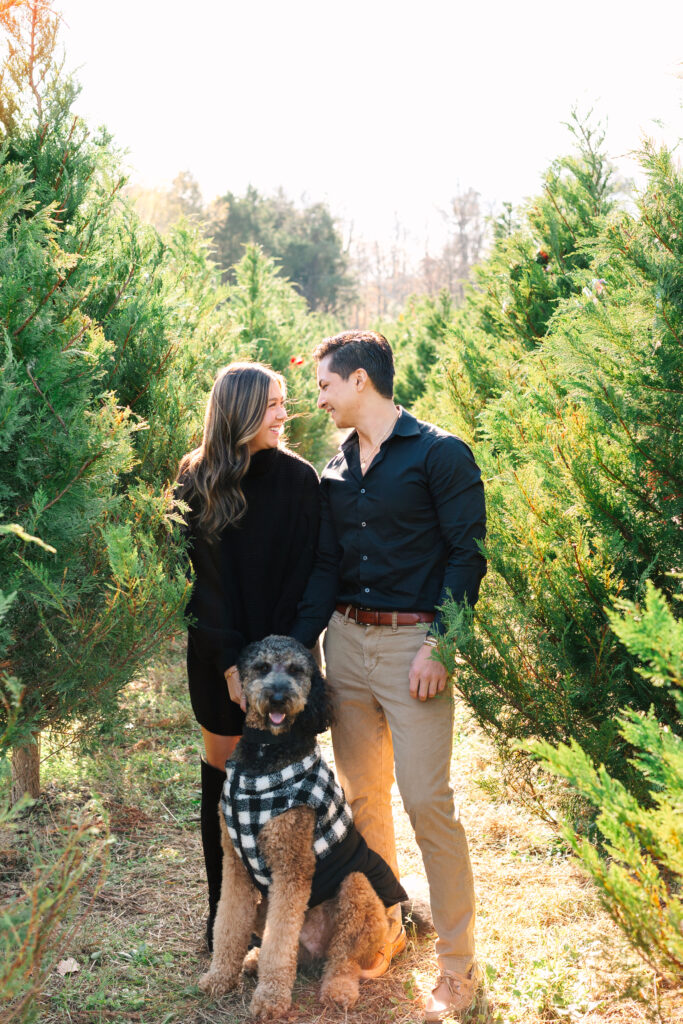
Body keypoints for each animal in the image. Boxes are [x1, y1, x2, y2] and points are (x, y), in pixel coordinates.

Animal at [200, 634, 409, 1019]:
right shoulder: (235, 863)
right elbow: (228, 925)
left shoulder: (291, 869)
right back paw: (253, 960)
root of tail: (314, 952)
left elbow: (280, 945)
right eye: (262, 667)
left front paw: (270, 999)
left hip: (357, 890)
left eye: (297, 670)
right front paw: (220, 977)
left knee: (343, 959)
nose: (279, 697)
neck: (266, 752)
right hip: (264, 906)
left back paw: (338, 989)